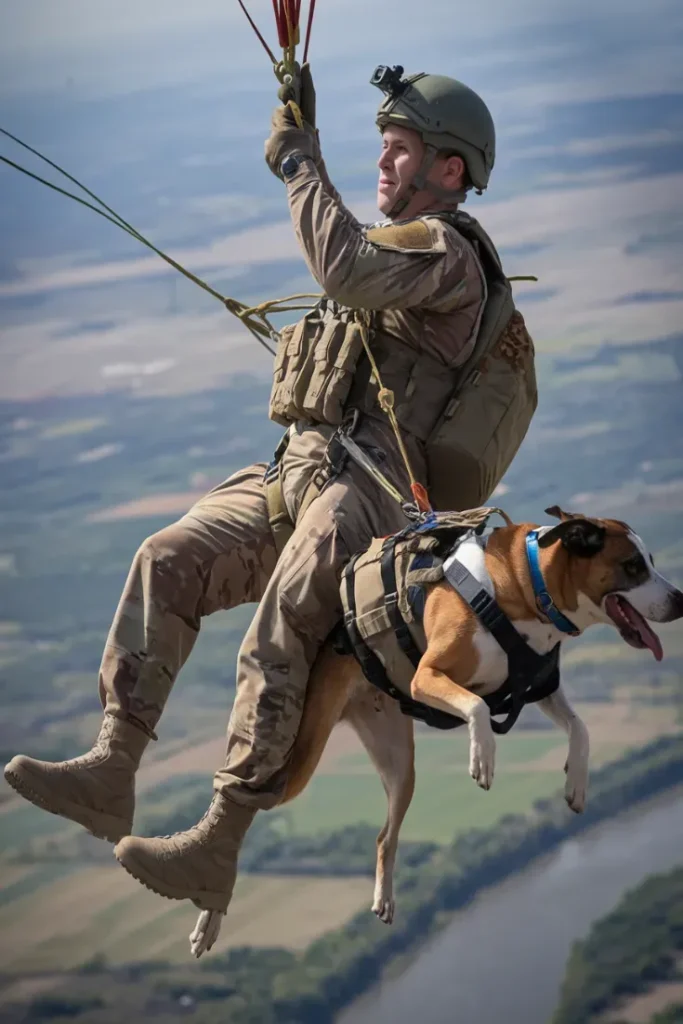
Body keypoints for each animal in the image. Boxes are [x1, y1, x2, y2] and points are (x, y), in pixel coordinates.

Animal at [189, 507, 683, 954]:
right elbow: (479, 706)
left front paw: (576, 783)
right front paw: (483, 757)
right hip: (306, 755)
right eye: (633, 567)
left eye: (650, 560)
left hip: (399, 765)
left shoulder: (537, 685)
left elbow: (580, 728)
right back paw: (208, 913)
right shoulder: (427, 676)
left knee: (384, 837)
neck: (524, 583)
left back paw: (385, 898)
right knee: (249, 803)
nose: (680, 600)